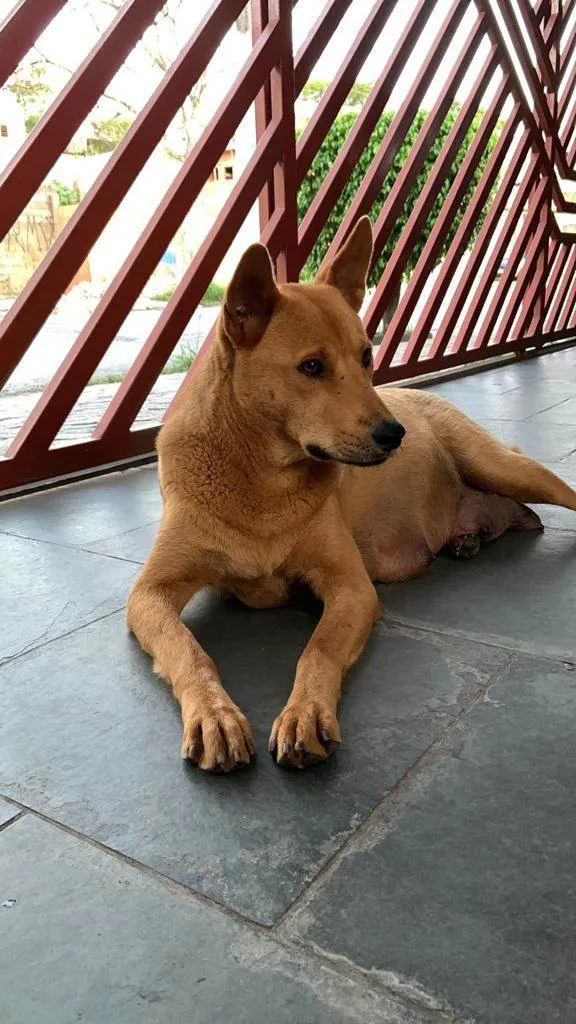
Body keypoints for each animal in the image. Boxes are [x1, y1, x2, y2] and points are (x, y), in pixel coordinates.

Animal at [127, 220, 573, 770]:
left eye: (366, 356)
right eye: (311, 367)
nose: (395, 434)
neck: (262, 482)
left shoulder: (350, 587)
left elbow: (318, 649)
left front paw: (305, 713)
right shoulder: (149, 594)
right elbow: (188, 649)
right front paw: (214, 715)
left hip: (502, 465)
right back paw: (468, 538)